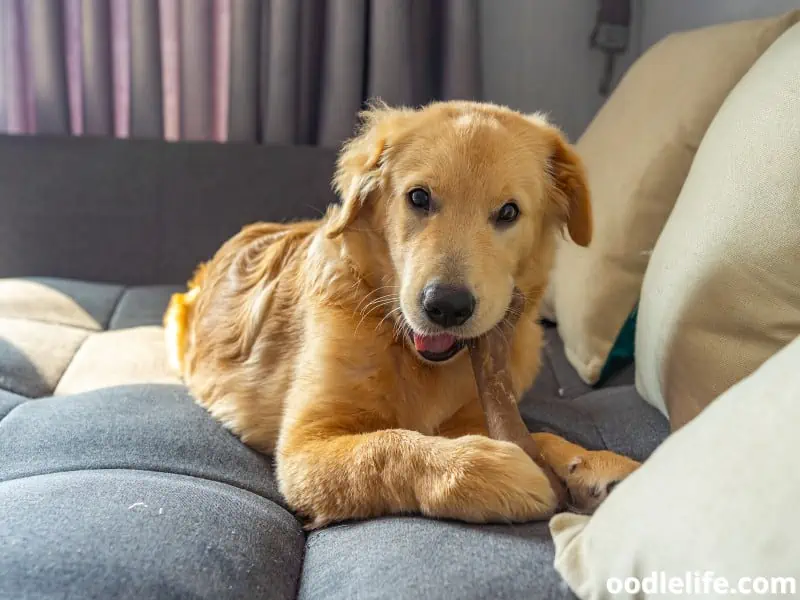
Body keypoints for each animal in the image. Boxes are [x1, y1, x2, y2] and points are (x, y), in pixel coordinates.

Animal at [164, 101, 636, 528]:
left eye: (508, 212)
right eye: (419, 198)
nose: (445, 306)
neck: (408, 349)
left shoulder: (476, 411)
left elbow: (541, 436)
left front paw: (594, 462)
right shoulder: (303, 446)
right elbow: (387, 448)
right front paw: (495, 469)